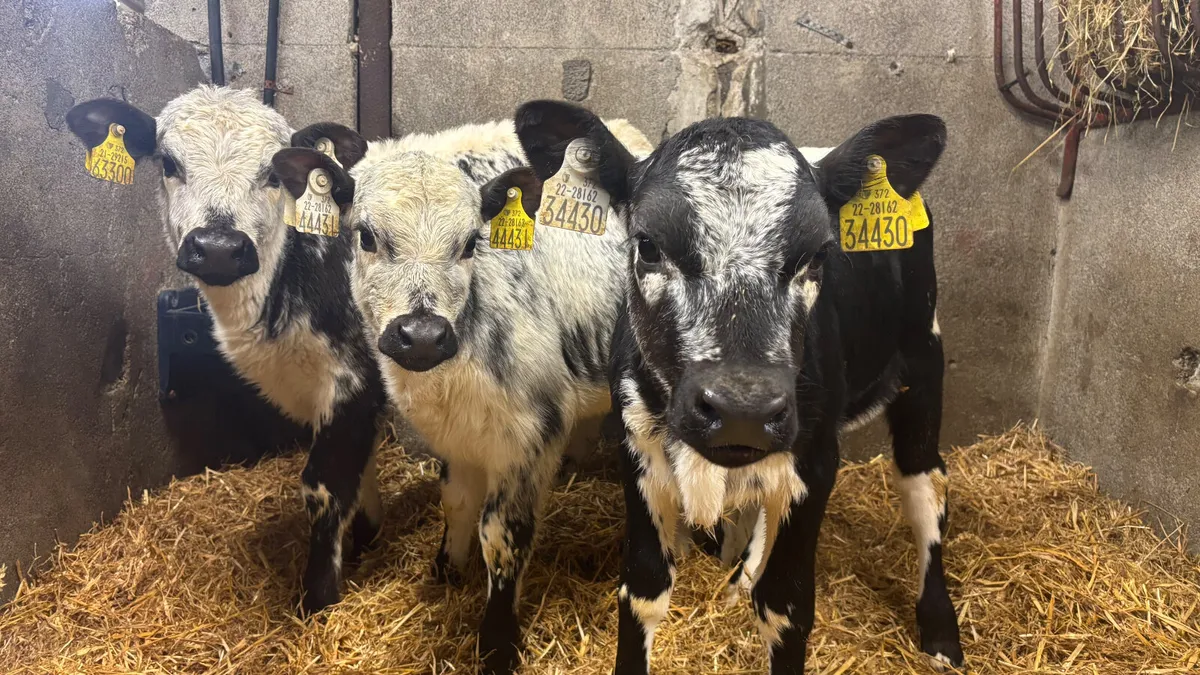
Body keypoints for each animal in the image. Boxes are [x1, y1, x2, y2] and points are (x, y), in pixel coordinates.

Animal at [65, 87, 386, 615]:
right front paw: (365, 539)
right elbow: (358, 475)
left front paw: (318, 598)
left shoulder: (355, 378)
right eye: (168, 163)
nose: (217, 247)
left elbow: (325, 486)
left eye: (274, 173)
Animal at [271, 116, 654, 674]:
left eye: (472, 242)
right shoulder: (455, 434)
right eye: (365, 235)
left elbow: (502, 536)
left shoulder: (532, 436)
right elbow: (454, 501)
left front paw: (497, 643)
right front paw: (447, 569)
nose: (422, 335)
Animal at [511, 101, 963, 674]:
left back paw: (941, 631)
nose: (742, 409)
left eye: (819, 253)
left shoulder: (817, 456)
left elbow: (786, 606)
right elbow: (642, 591)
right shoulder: (636, 449)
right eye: (647, 245)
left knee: (925, 485)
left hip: (923, 361)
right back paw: (740, 577)